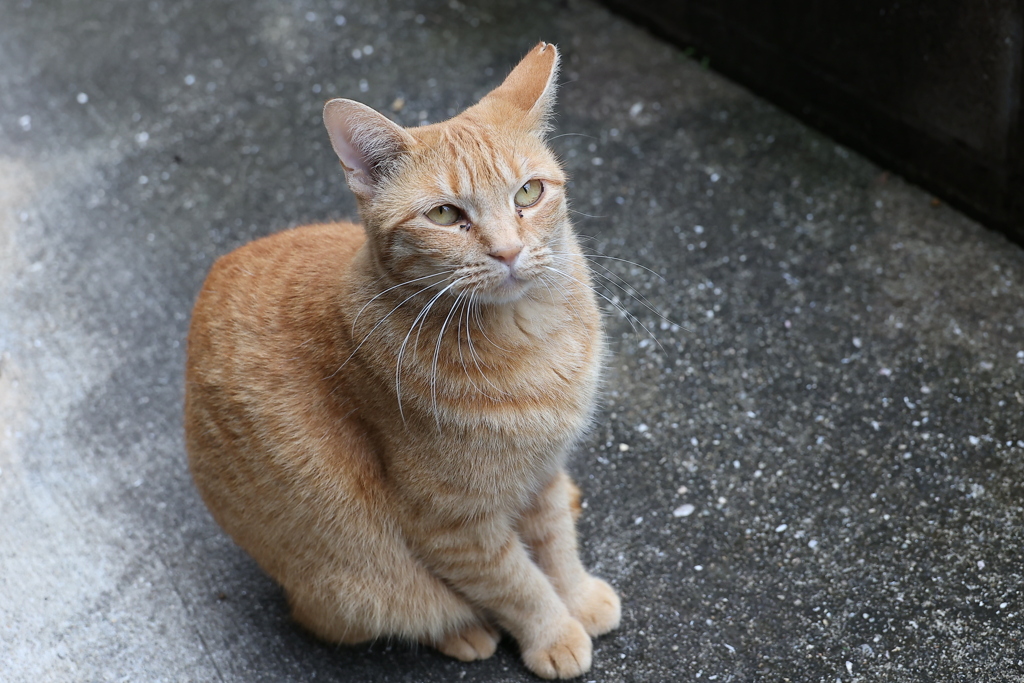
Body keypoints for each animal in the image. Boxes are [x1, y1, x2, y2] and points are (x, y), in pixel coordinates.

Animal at [182, 42, 614, 679]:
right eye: (445, 216)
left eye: (528, 194)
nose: (508, 251)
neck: (530, 338)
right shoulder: (451, 527)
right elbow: (518, 583)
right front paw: (554, 632)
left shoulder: (541, 471)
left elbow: (555, 542)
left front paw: (579, 597)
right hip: (351, 588)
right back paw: (464, 631)